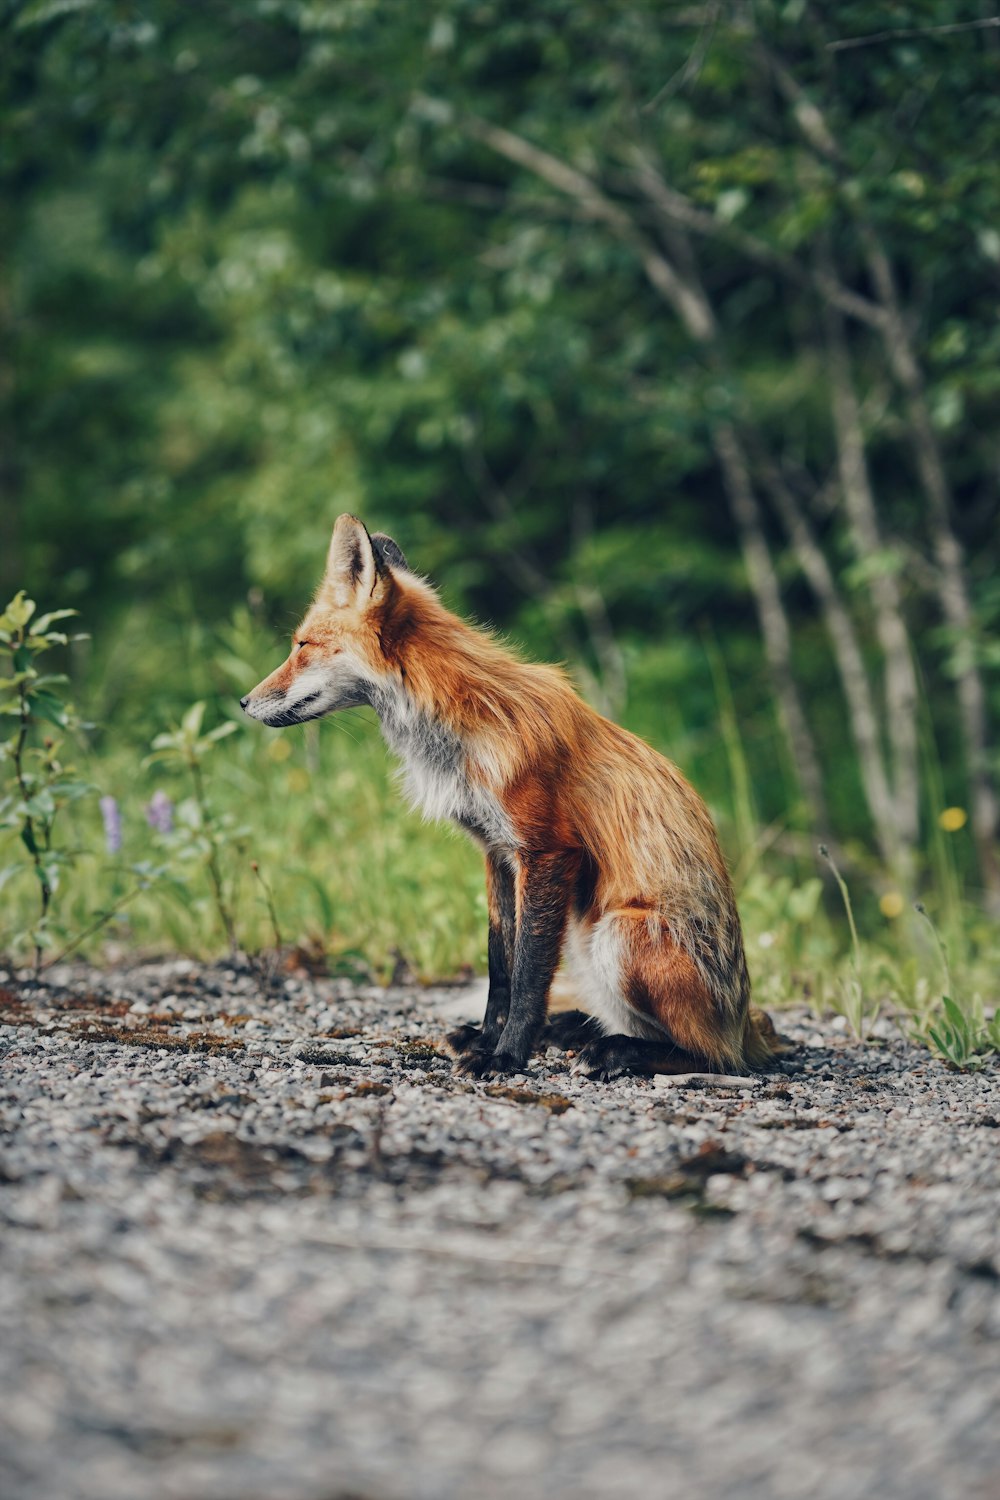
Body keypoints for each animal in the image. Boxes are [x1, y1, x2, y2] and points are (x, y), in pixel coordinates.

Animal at [239, 516, 779, 1080]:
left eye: (303, 646)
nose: (244, 702)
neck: (464, 726)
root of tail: (744, 1026)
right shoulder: (497, 853)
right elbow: (501, 965)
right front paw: (486, 1037)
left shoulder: (547, 851)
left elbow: (528, 976)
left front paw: (506, 1054)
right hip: (585, 938)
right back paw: (577, 1031)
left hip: (618, 934)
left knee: (710, 1056)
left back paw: (617, 1050)